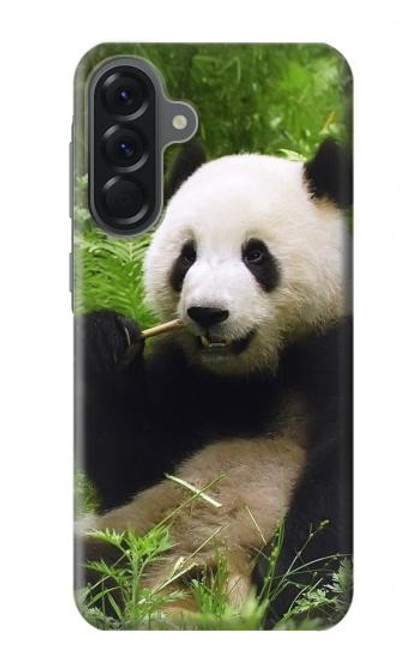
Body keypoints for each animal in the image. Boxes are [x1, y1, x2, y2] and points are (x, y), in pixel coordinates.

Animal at [76, 138, 352, 626]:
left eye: (256, 255)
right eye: (187, 255)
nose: (207, 312)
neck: (255, 373)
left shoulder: (335, 350)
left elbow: (335, 493)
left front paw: (290, 587)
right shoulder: (187, 378)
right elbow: (136, 467)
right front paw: (104, 341)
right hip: (129, 535)